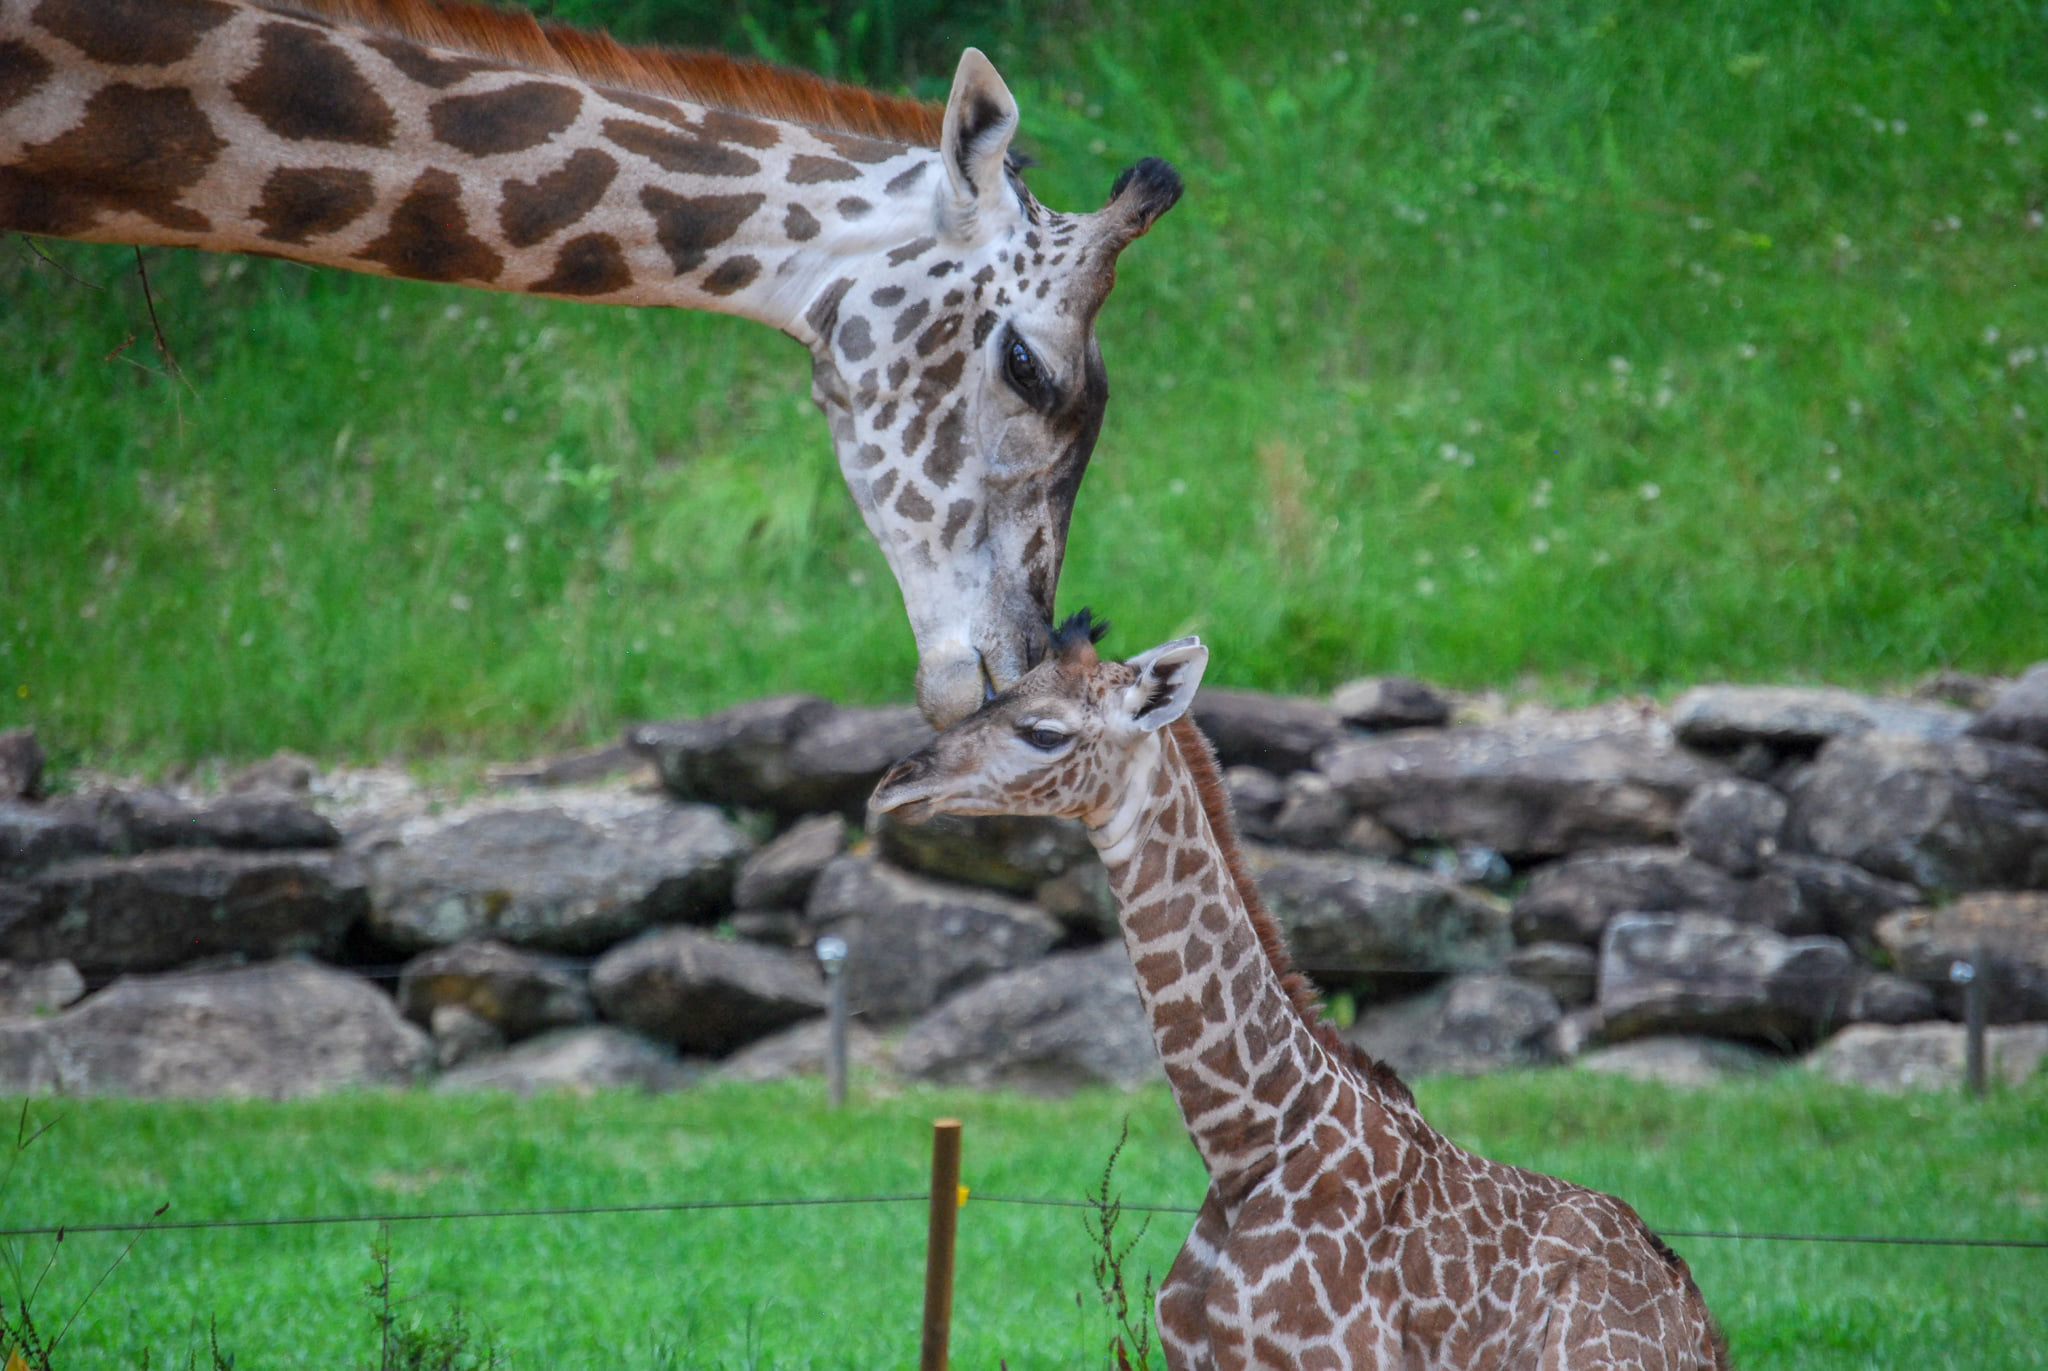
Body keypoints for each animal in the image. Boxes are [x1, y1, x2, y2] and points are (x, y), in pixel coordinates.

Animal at [872, 614, 1731, 1371]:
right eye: (991, 698)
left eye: (1044, 731)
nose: (891, 786)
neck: (1249, 1141)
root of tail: (1701, 1325)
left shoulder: (1333, 1357)